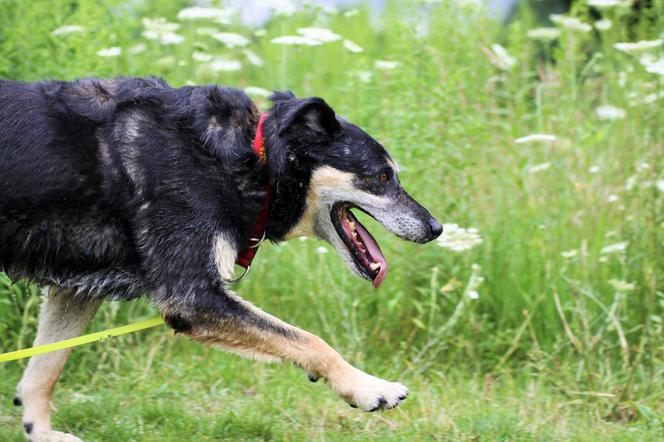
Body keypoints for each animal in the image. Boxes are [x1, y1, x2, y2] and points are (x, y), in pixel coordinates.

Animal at [2, 77, 444, 440]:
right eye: (382, 177)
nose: (436, 227)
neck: (250, 159)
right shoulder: (193, 297)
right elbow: (311, 341)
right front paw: (369, 388)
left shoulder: (75, 292)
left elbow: (43, 372)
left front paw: (41, 432)